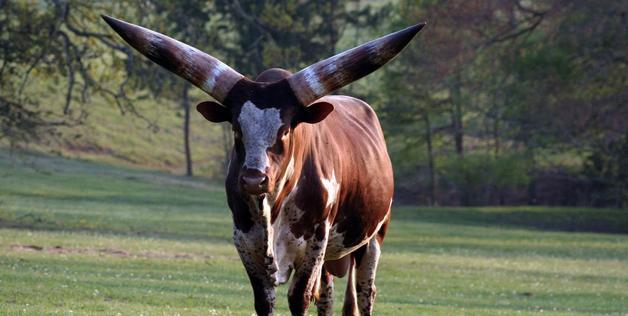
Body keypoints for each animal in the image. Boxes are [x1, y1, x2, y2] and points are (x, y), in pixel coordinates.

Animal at [103, 15, 426, 316]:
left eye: (285, 130)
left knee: (365, 291)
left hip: (373, 237)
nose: (253, 180)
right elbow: (264, 301)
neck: (272, 206)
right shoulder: (246, 240)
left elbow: (299, 298)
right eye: (236, 128)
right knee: (327, 296)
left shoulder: (315, 241)